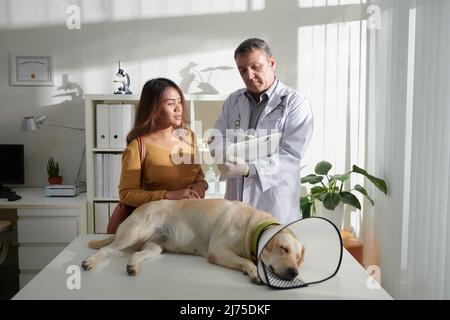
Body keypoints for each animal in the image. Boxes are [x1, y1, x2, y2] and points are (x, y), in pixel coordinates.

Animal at [82, 199, 304, 284]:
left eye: (298, 258)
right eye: (283, 248)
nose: (294, 272)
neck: (253, 226)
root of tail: (137, 209)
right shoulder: (218, 251)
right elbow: (247, 261)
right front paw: (253, 271)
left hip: (155, 247)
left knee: (135, 254)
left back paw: (132, 267)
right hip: (134, 233)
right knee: (107, 249)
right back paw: (90, 262)